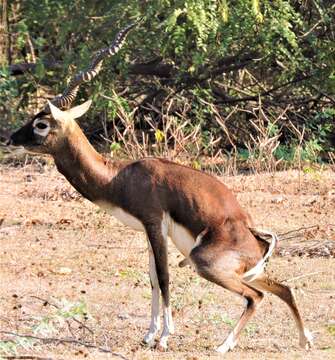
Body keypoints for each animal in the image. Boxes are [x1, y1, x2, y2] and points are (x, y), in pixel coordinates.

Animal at [7, 23, 314, 354]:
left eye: (41, 124)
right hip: (245, 271)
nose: (11, 138)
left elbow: (165, 277)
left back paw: (224, 345)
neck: (119, 176)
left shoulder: (154, 223)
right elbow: (152, 278)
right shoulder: (147, 230)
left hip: (205, 264)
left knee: (256, 296)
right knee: (284, 287)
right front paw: (149, 334)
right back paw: (304, 339)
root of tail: (256, 239)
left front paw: (165, 337)